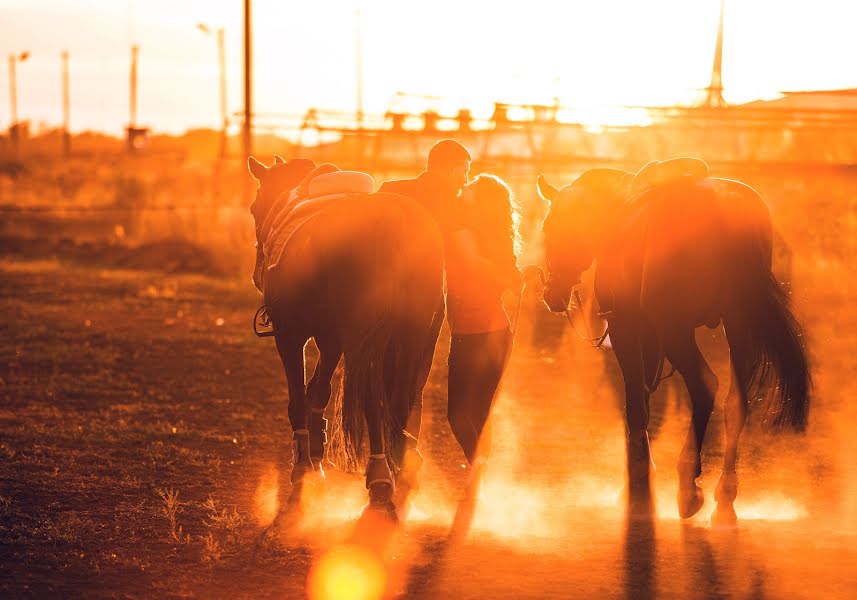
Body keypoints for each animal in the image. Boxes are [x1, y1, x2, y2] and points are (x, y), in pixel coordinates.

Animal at [246, 155, 442, 520]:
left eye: (254, 208)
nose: (256, 274)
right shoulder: (331, 340)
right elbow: (318, 392)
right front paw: (315, 457)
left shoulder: (291, 335)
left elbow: (298, 398)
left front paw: (302, 468)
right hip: (412, 336)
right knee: (399, 401)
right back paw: (397, 469)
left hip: (364, 341)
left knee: (372, 401)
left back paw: (379, 479)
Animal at [536, 158, 808, 520]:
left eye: (550, 228)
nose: (552, 294)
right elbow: (647, 398)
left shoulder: (626, 328)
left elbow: (636, 402)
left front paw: (637, 481)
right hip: (737, 326)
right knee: (736, 402)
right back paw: (725, 493)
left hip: (675, 330)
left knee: (705, 385)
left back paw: (688, 486)